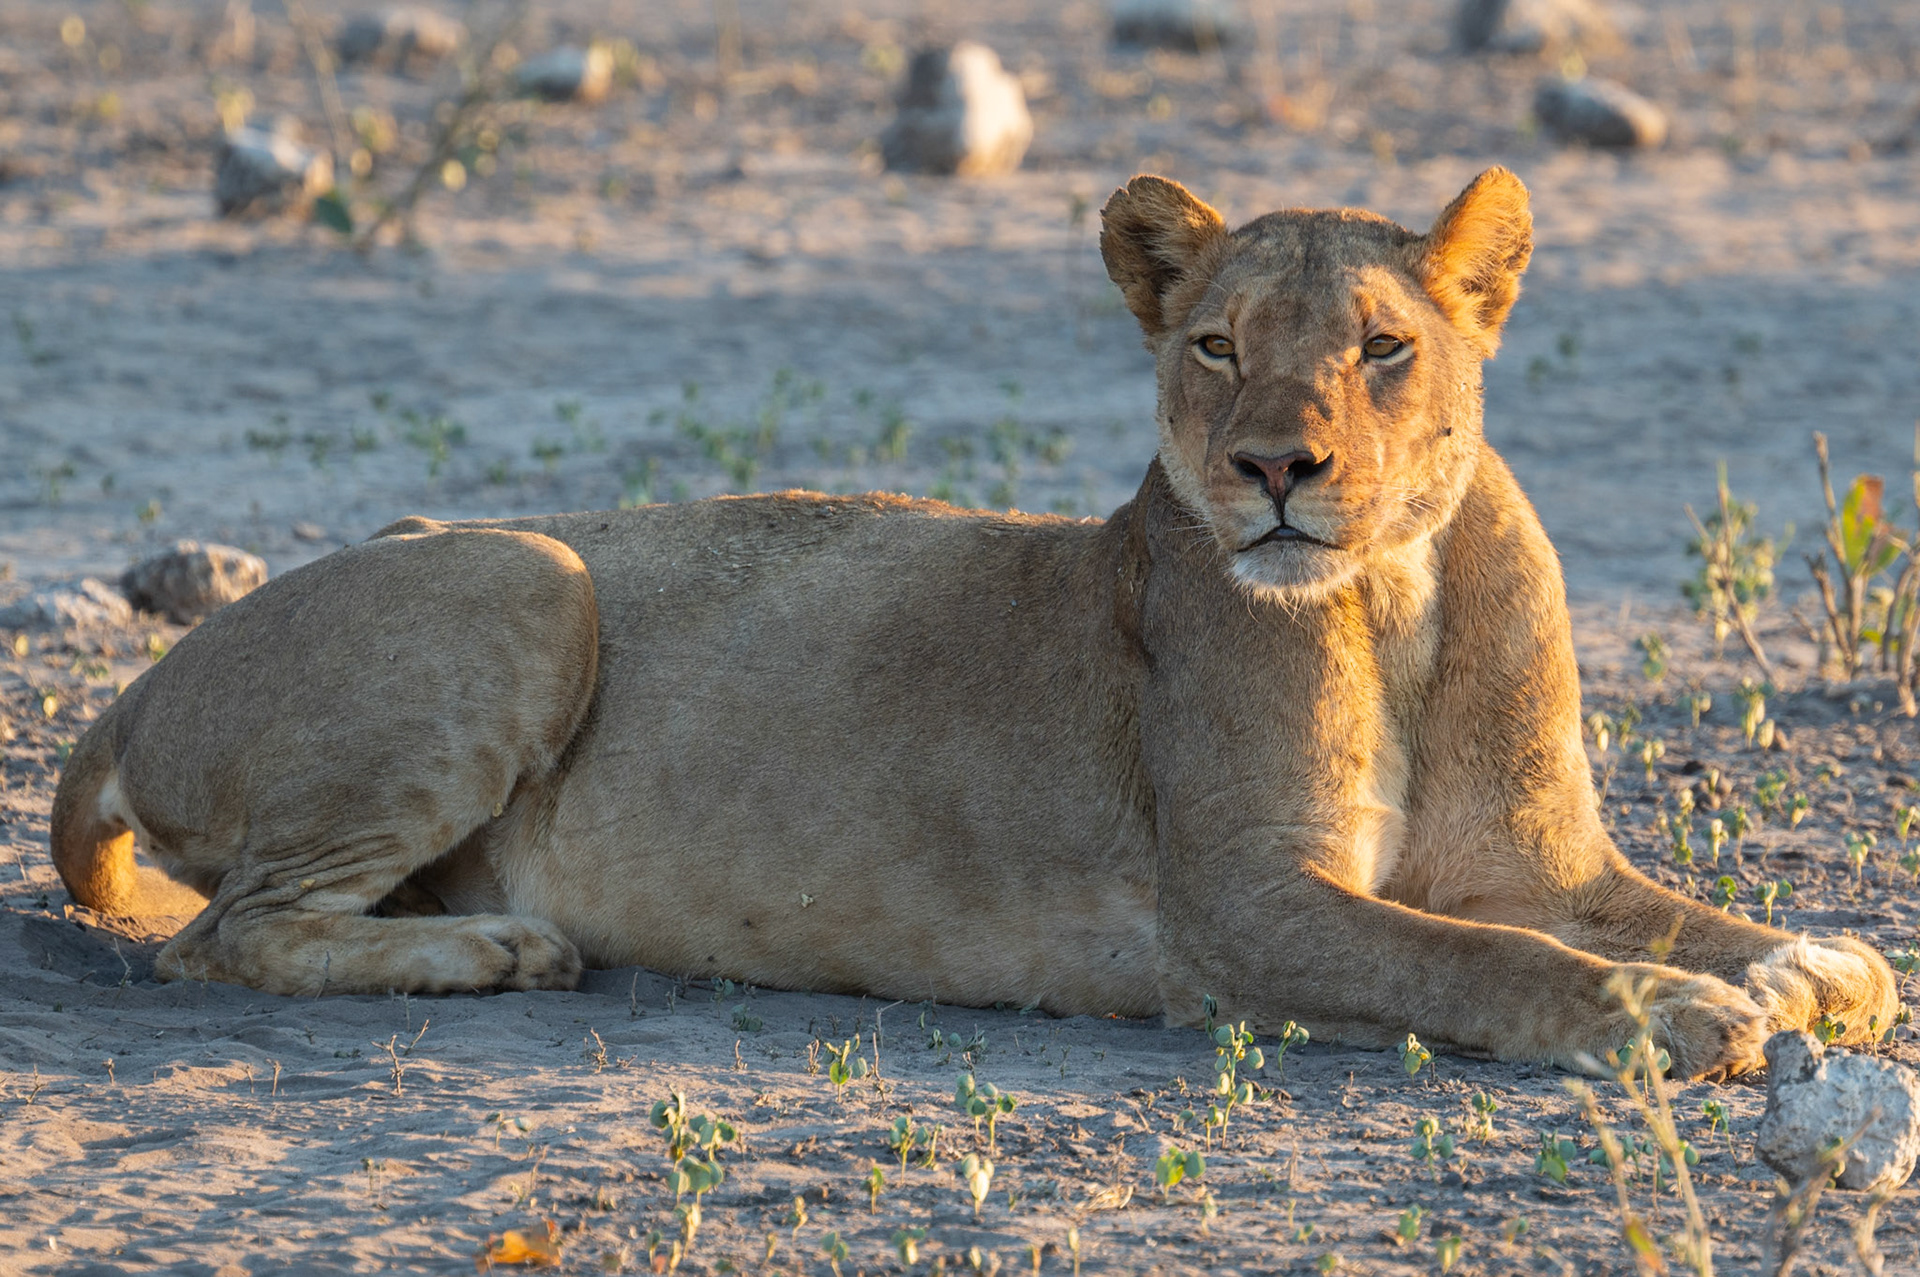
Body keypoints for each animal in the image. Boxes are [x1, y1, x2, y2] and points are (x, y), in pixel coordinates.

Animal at [50, 169, 1895, 1078]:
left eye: (1381, 346)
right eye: (1218, 344)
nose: (1274, 471)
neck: (1401, 597)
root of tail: (135, 692)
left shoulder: (1546, 858)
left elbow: (1700, 918)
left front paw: (1805, 962)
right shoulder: (1239, 907)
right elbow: (1489, 957)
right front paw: (1670, 1018)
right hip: (526, 573)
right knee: (222, 937)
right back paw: (500, 948)